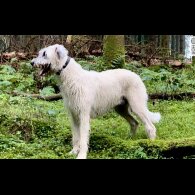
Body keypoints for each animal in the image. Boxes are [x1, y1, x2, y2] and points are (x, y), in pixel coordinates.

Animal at [31, 43, 161, 158]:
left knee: (150, 127)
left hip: (137, 106)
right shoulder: (73, 115)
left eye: (44, 54)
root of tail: (137, 76)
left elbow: (83, 138)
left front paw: (81, 155)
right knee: (134, 122)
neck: (70, 76)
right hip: (120, 108)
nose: (31, 62)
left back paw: (152, 146)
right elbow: (75, 136)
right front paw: (73, 152)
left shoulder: (84, 114)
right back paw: (129, 140)